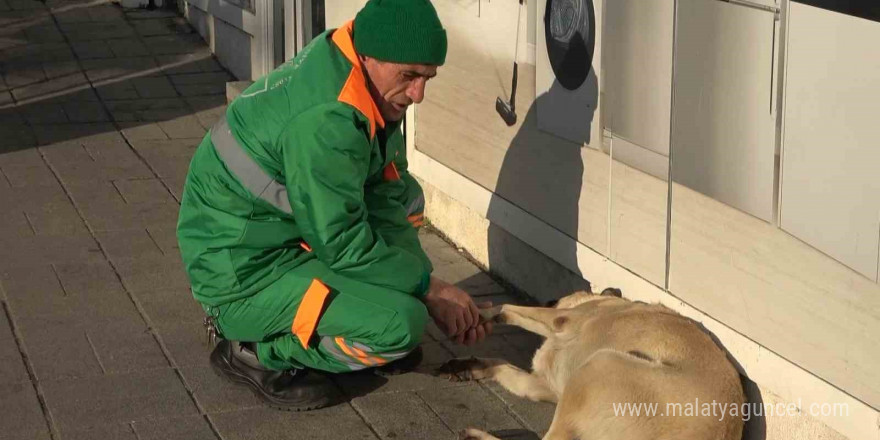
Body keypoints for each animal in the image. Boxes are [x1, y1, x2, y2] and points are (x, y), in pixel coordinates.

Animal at [436, 288, 744, 440]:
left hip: (602, 363)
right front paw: (470, 366)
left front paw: (478, 312)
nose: (549, 298)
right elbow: (502, 364)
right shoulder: (541, 386)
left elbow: (507, 309)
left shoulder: (562, 319)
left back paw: (476, 436)